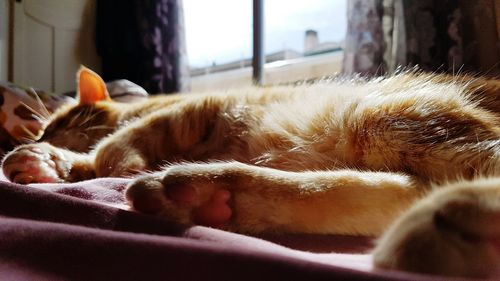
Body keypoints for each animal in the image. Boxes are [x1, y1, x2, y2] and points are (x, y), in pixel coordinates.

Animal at [2, 66, 500, 278]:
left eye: (56, 122)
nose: (37, 134)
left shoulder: (190, 109)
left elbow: (118, 143)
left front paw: (103, 158)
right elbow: (89, 161)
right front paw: (39, 161)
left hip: (386, 115)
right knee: (393, 191)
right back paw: (207, 194)